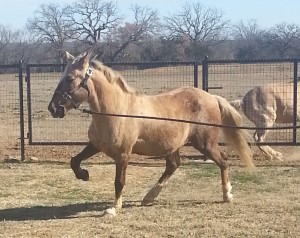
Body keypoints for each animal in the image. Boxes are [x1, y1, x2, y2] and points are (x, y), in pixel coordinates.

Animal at [48, 51, 254, 217]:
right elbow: (74, 161)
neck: (117, 111)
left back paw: (227, 195)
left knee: (223, 160)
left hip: (205, 143)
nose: (53, 108)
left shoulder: (123, 155)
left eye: (70, 78)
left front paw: (113, 209)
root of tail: (211, 96)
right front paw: (84, 175)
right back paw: (149, 197)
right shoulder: (96, 145)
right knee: (173, 165)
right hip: (172, 145)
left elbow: (119, 181)